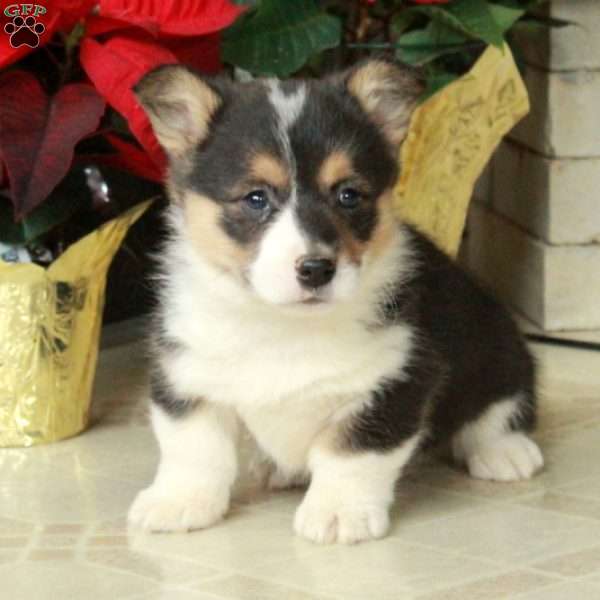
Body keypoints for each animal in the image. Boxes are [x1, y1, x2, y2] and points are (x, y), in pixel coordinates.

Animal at [127, 59, 544, 544]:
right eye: (256, 197)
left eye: (348, 194)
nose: (315, 269)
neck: (281, 324)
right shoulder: (185, 374)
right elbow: (192, 446)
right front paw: (179, 502)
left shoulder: (395, 379)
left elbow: (351, 453)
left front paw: (338, 513)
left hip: (498, 350)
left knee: (499, 408)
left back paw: (505, 451)